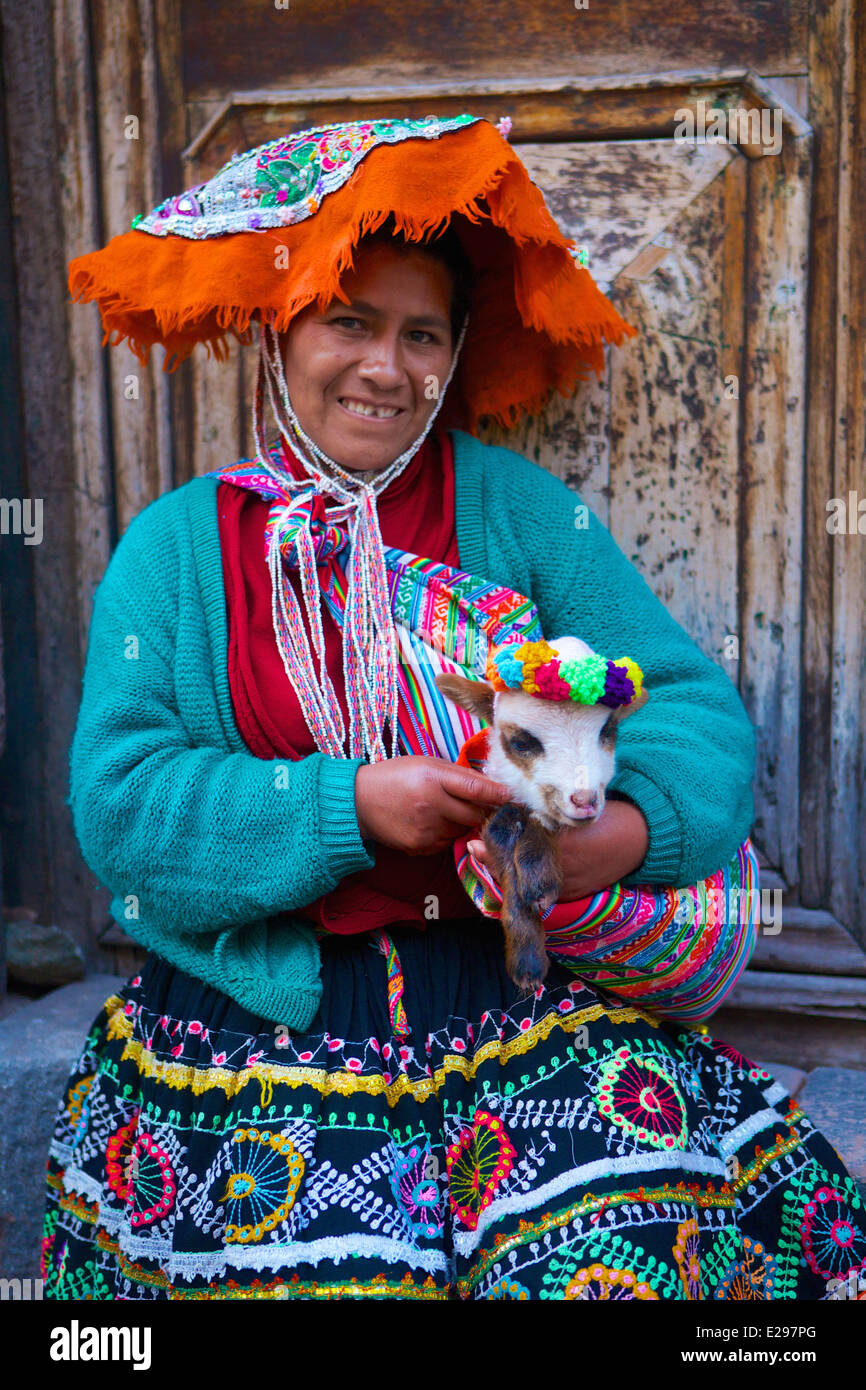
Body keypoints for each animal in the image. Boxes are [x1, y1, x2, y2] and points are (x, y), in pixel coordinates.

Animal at [436, 636, 647, 995]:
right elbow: (502, 840)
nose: (584, 800)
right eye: (521, 743)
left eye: (608, 731)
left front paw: (539, 878)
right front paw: (527, 961)